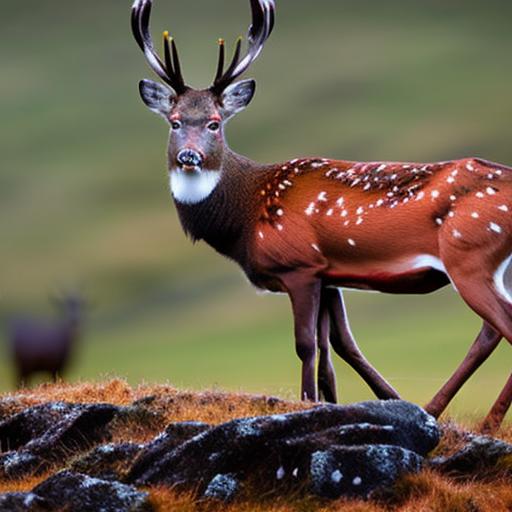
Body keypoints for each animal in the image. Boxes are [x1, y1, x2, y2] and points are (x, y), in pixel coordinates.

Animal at [133, 0, 512, 432]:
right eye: (175, 122)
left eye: (215, 123)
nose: (189, 156)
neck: (246, 215)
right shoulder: (329, 275)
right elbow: (340, 347)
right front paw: (372, 399)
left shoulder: (299, 265)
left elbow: (306, 344)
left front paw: (307, 403)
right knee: (488, 331)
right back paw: (452, 412)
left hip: (469, 254)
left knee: (501, 325)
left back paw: (475, 419)